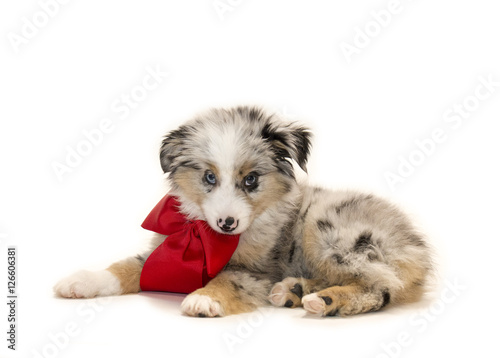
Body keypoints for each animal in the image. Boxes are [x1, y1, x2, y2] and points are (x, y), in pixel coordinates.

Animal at [52, 105, 432, 316]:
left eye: (251, 179)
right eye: (209, 177)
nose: (227, 223)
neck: (206, 237)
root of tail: (416, 246)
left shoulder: (258, 272)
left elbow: (229, 278)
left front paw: (205, 299)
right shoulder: (164, 247)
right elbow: (128, 266)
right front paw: (82, 281)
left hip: (330, 230)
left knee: (380, 288)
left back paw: (323, 301)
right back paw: (295, 291)